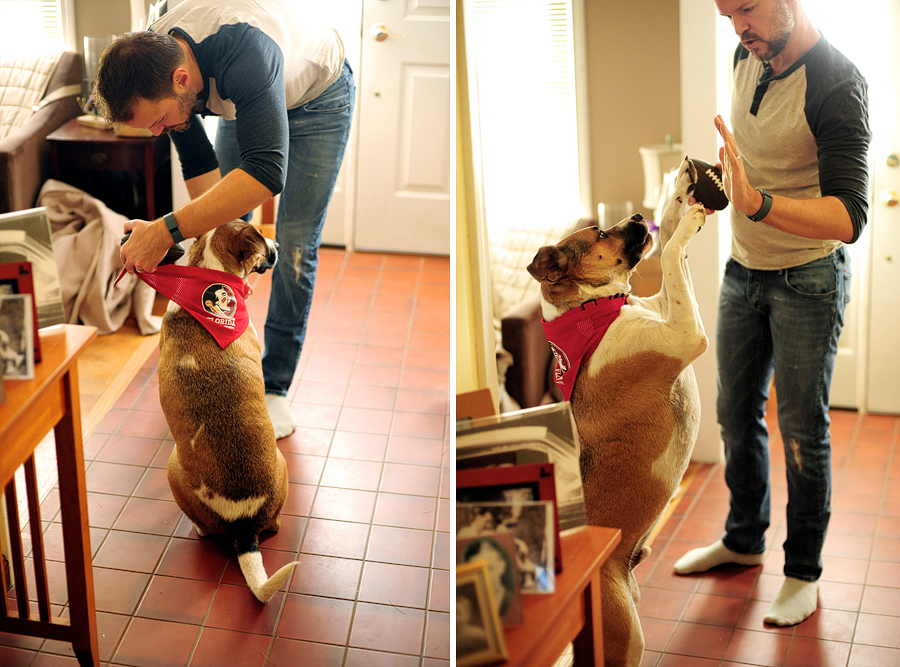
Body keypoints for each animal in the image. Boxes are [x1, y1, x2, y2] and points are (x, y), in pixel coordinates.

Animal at [528, 159, 712, 664]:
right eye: (598, 231)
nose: (635, 218)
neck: (597, 308)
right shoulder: (685, 335)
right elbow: (669, 255)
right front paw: (688, 219)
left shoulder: (667, 308)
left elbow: (669, 252)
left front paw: (680, 195)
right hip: (625, 635)